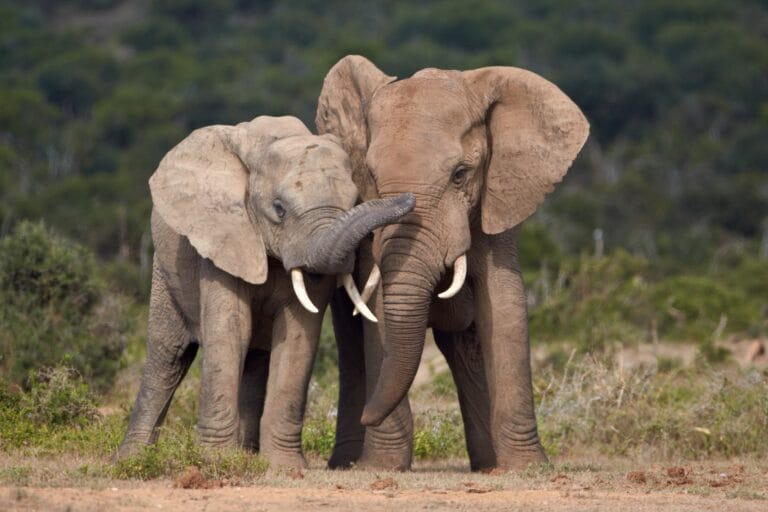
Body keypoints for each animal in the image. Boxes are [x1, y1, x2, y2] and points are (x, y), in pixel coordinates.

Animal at [118, 115, 414, 469]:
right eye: (279, 208)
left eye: (355, 201)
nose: (409, 199)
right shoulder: (224, 236)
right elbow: (230, 330)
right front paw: (215, 461)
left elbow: (298, 336)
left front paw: (285, 468)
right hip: (165, 270)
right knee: (168, 357)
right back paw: (130, 461)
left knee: (255, 360)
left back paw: (247, 455)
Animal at [316, 56, 589, 471]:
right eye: (372, 178)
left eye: (460, 174)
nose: (368, 416)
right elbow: (378, 315)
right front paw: (382, 467)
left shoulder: (499, 199)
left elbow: (505, 306)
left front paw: (526, 467)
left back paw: (488, 466)